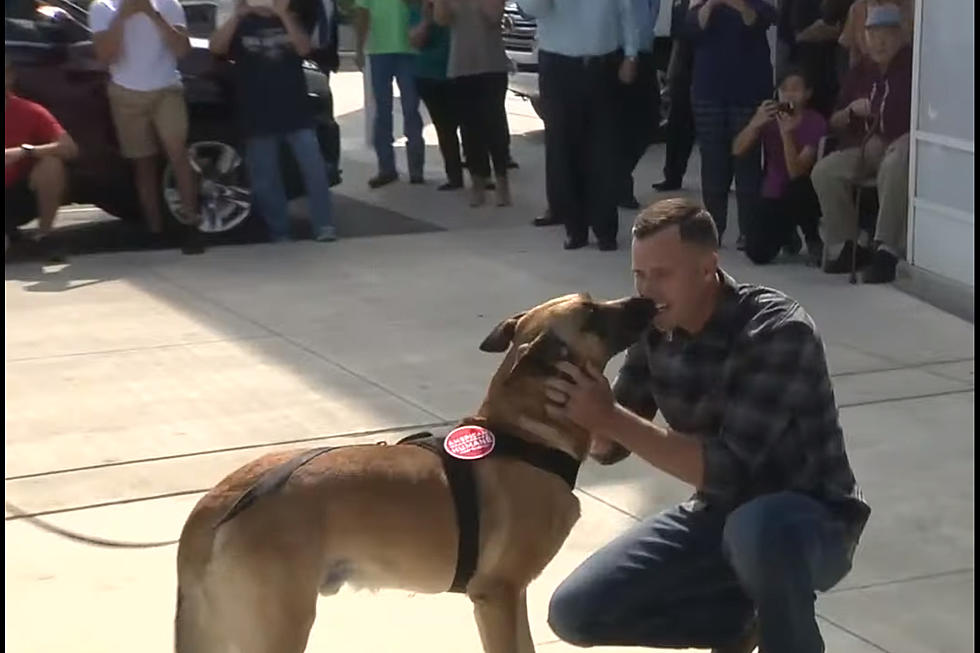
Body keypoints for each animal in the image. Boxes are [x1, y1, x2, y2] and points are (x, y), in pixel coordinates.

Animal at [174, 294, 660, 652]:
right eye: (591, 312)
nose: (648, 300)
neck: (524, 434)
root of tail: (217, 501)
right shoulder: (497, 594)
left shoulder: (510, 595)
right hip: (278, 625)